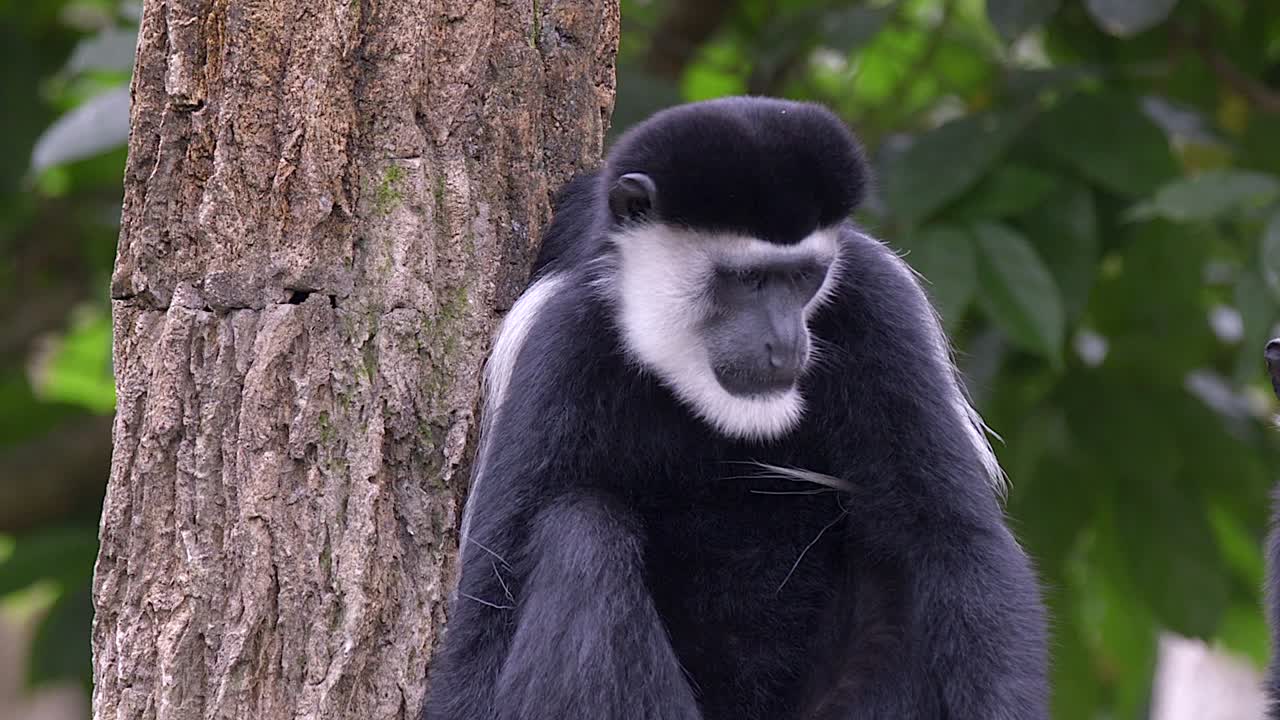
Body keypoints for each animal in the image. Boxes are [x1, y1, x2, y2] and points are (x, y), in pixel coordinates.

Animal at [421, 96, 1049, 720]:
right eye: (746, 280)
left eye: (803, 278)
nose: (787, 343)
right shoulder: (560, 346)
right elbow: (489, 607)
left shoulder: (877, 304)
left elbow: (951, 539)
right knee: (580, 533)